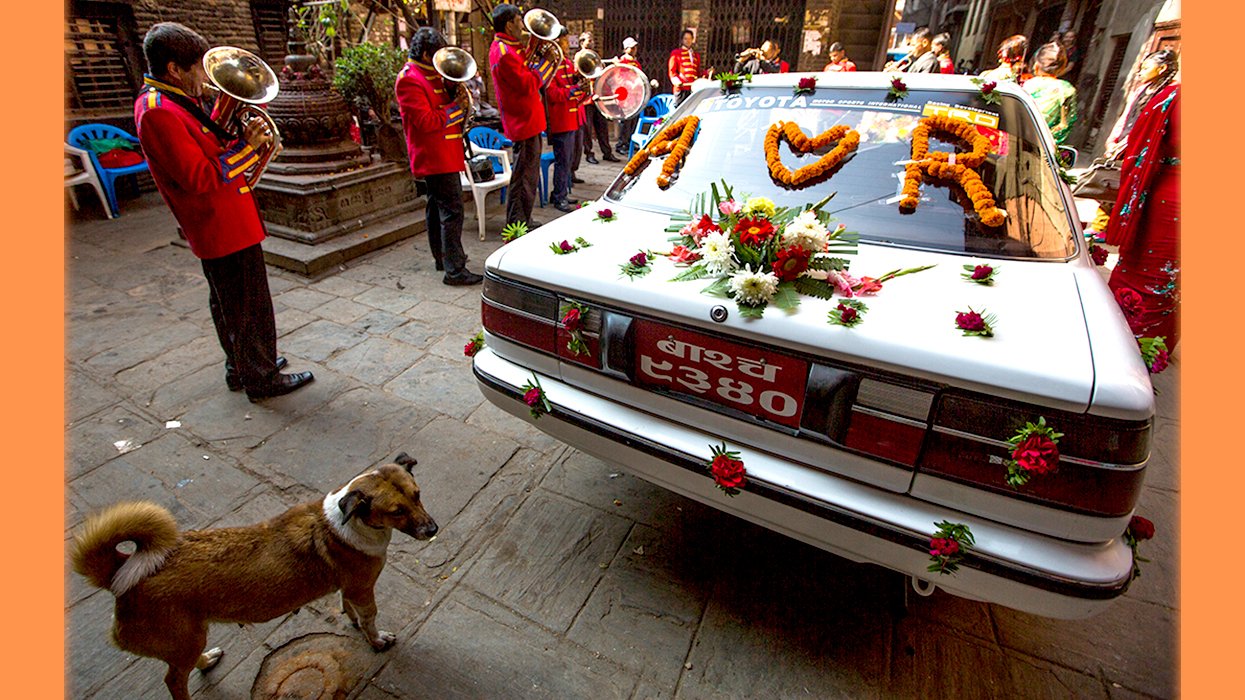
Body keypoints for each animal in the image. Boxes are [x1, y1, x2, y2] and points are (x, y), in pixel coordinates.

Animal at [70, 453, 438, 697]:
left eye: (418, 495)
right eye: (396, 511)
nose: (433, 530)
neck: (350, 522)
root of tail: (119, 571)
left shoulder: (348, 588)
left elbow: (349, 608)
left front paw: (352, 623)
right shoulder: (363, 588)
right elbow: (370, 618)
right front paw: (376, 641)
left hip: (189, 639)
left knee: (180, 668)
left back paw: (207, 661)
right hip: (184, 638)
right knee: (173, 680)